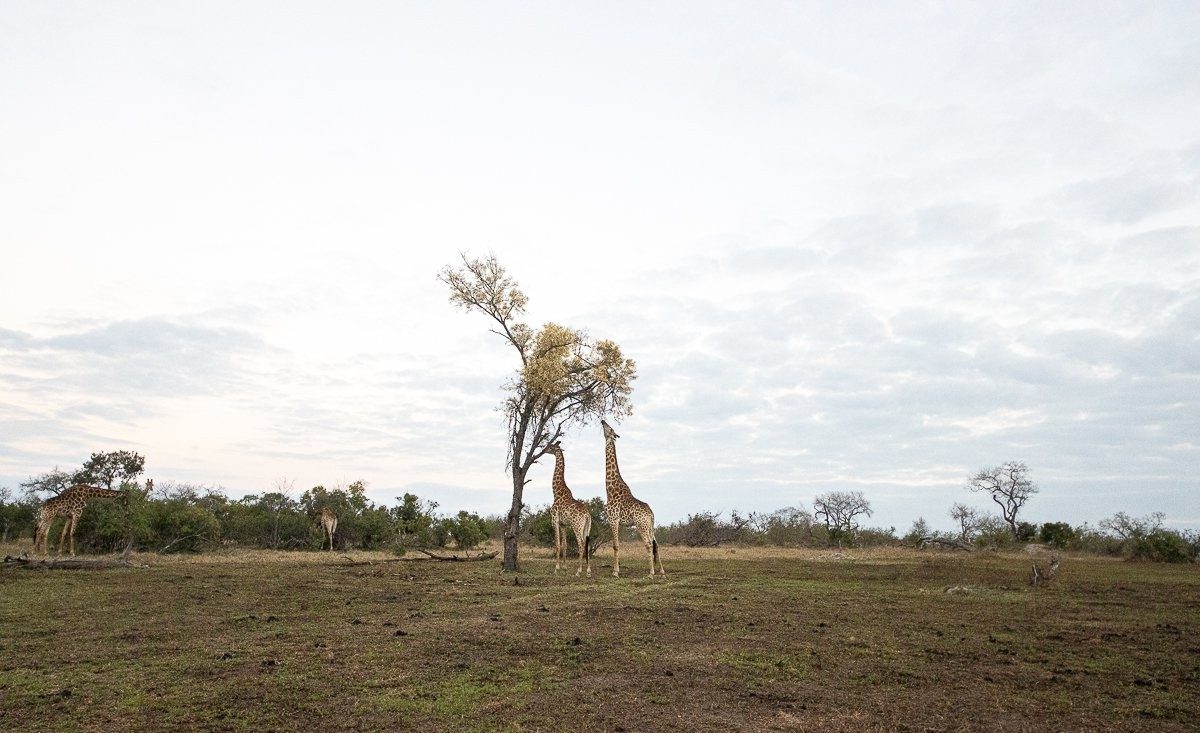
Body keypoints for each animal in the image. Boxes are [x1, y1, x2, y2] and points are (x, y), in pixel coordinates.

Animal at [544, 440, 592, 578]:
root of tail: (587, 515)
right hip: (587, 527)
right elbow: (564, 545)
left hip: (576, 525)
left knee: (581, 543)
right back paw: (588, 571)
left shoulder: (554, 520)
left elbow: (557, 544)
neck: (556, 492)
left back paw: (578, 571)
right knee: (587, 544)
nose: (543, 450)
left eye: (550, 446)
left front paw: (556, 569)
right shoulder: (563, 524)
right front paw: (565, 568)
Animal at [600, 419, 665, 577]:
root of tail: (651, 514)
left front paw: (615, 572)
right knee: (656, 544)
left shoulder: (613, 519)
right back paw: (661, 571)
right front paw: (616, 569)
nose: (602, 420)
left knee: (648, 544)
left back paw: (651, 573)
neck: (610, 489)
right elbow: (617, 545)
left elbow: (615, 545)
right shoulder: (618, 522)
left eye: (610, 428)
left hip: (641, 525)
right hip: (650, 526)